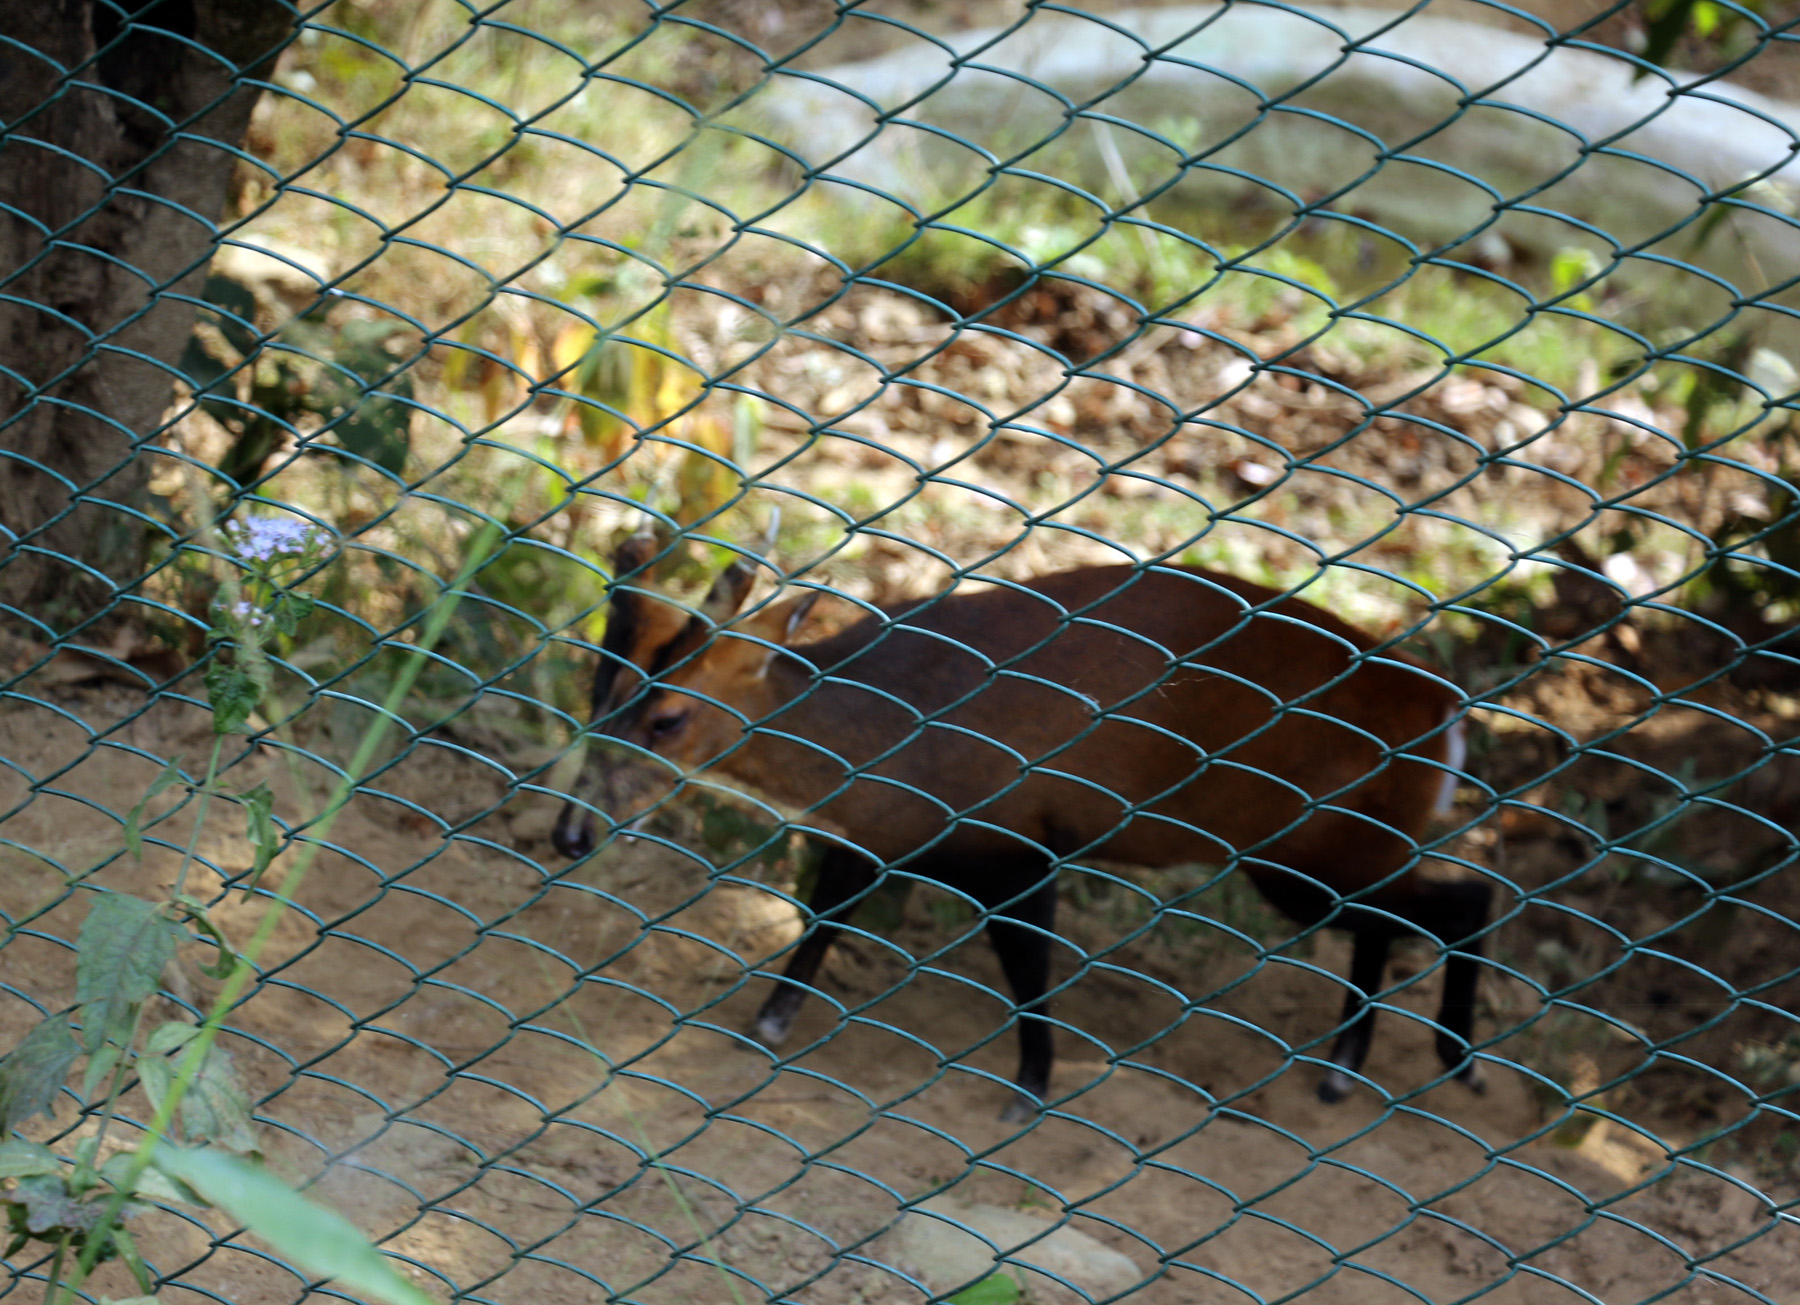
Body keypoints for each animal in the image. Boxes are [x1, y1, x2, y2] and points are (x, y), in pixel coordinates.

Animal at [554, 529, 1483, 1123]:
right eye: (594, 682)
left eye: (668, 717)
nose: (569, 833)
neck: (880, 737)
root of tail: (1445, 708)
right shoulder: (871, 837)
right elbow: (822, 923)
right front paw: (765, 1028)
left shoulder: (1018, 844)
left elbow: (1028, 971)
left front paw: (1030, 1088)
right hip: (1318, 853)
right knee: (1397, 919)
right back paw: (1341, 1071)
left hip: (1312, 847)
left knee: (1467, 895)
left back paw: (1454, 1060)